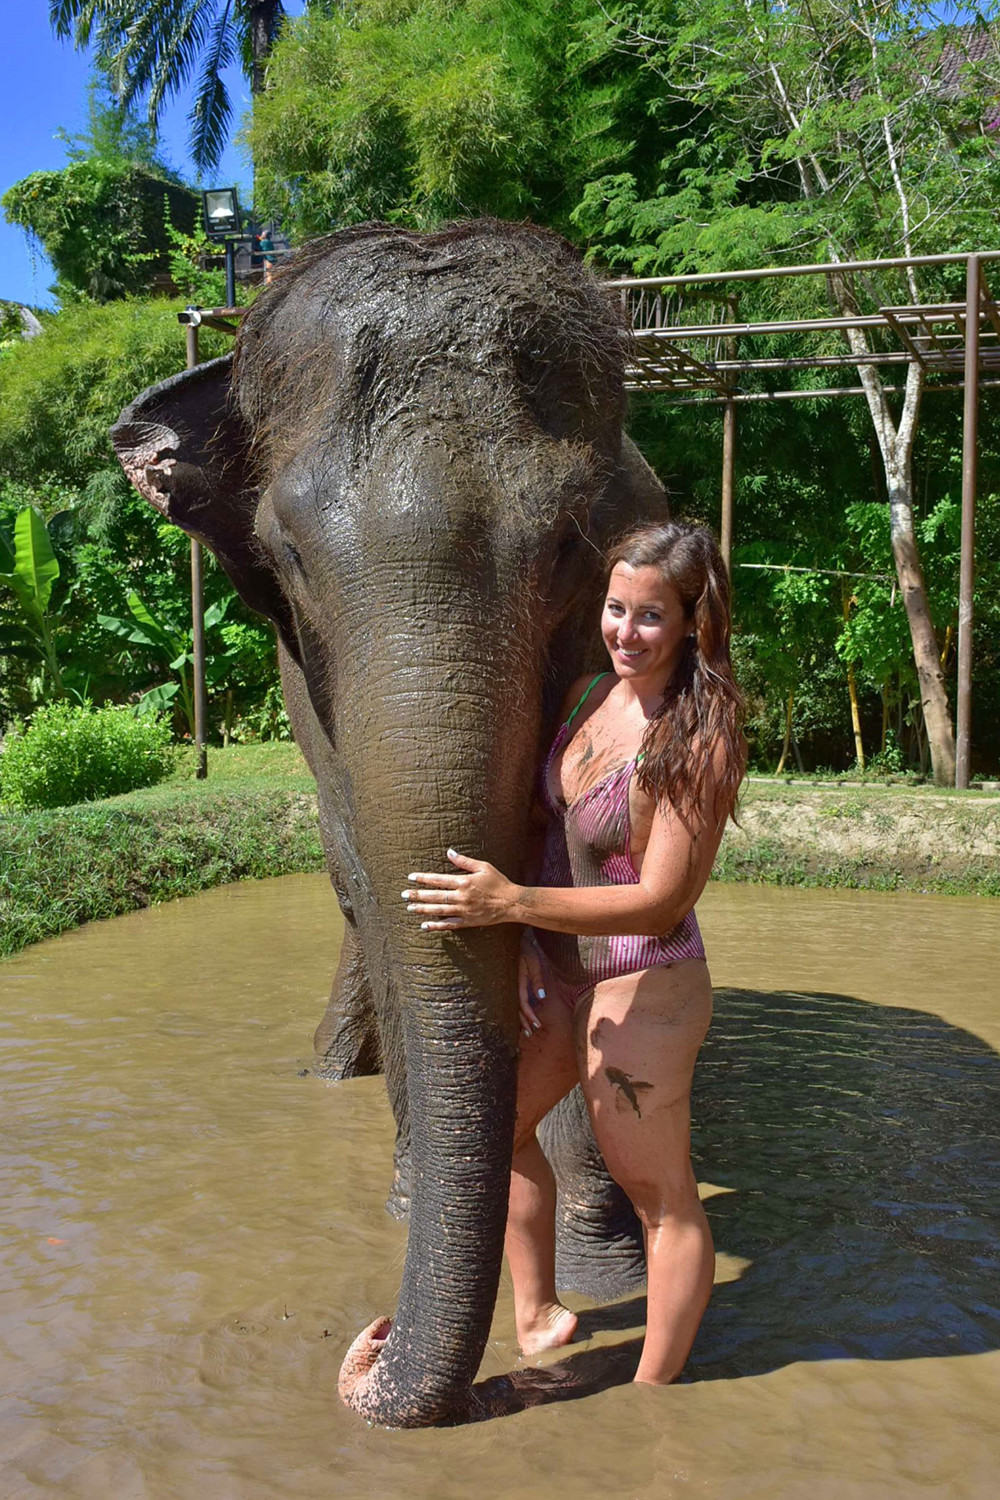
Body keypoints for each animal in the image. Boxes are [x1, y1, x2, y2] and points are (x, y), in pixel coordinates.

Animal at [111, 219, 670, 1427]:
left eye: (570, 549)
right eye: (289, 560)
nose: (366, 1352)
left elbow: (570, 881)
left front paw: (606, 1267)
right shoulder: (308, 686)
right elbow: (377, 877)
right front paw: (414, 1201)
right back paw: (336, 1077)